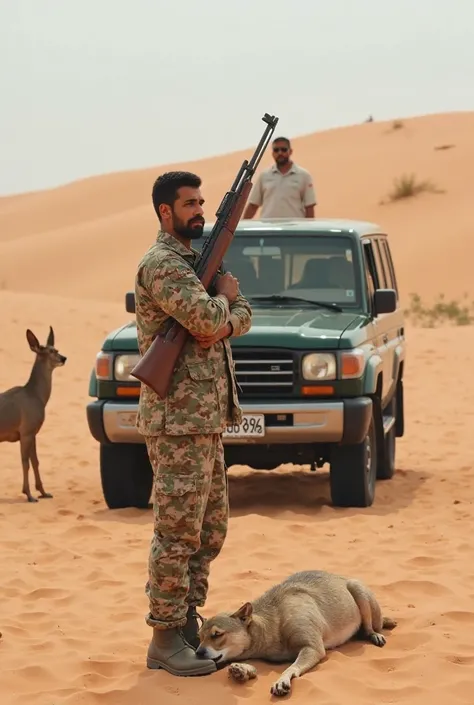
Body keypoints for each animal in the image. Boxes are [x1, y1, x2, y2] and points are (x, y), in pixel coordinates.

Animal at [196, 568, 396, 696]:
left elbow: (291, 667)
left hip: (358, 590)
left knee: (369, 627)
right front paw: (242, 670)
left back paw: (374, 634)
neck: (273, 622)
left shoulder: (312, 648)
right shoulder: (257, 651)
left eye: (217, 635)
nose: (198, 652)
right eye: (199, 637)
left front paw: (282, 680)